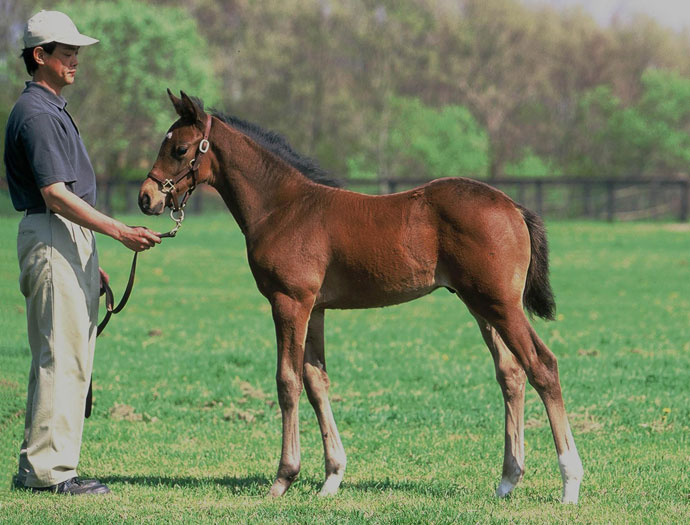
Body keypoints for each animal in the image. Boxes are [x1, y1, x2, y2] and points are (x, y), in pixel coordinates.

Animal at [138, 90, 584, 504]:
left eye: (179, 149)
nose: (147, 198)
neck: (282, 207)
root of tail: (512, 206)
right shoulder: (315, 308)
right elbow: (316, 381)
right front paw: (332, 477)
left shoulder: (289, 302)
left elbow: (287, 381)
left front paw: (284, 478)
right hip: (480, 306)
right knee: (511, 373)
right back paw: (508, 480)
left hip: (501, 305)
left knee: (542, 366)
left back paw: (570, 483)